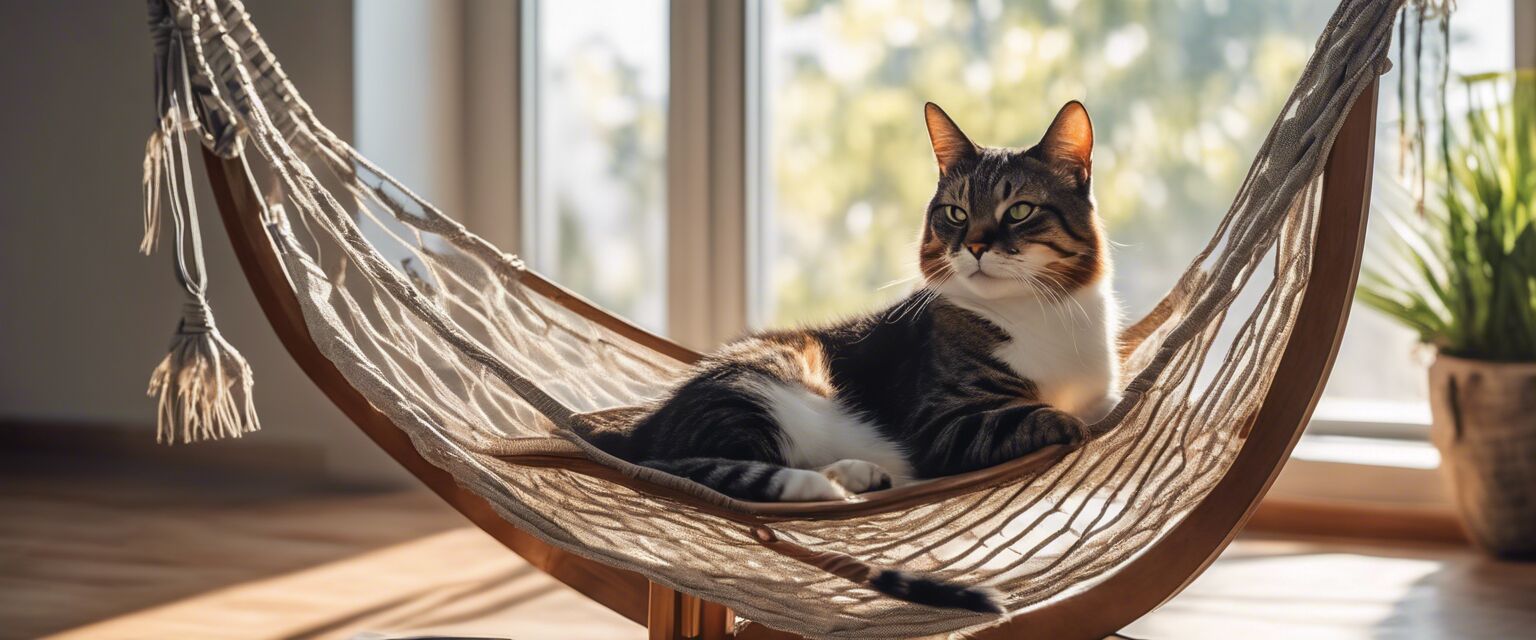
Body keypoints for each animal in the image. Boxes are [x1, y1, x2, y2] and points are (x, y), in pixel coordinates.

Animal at [580, 102, 1124, 610]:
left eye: (1019, 211)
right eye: (956, 213)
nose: (972, 245)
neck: (1041, 313)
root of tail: (645, 425)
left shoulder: (1102, 394)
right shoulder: (940, 426)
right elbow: (1033, 416)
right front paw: (1065, 424)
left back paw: (859, 476)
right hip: (757, 389)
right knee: (712, 466)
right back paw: (817, 488)